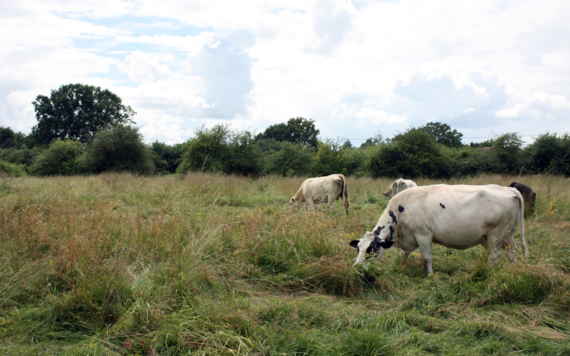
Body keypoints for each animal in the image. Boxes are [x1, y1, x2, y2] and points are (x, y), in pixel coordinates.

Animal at [348, 185, 524, 274]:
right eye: (358, 249)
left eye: (372, 250)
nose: (357, 267)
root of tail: (510, 189)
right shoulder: (409, 237)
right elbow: (403, 254)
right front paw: (400, 268)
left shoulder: (423, 234)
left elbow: (428, 257)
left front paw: (430, 275)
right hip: (508, 235)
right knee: (512, 253)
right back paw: (513, 270)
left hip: (497, 234)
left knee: (494, 255)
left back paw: (488, 272)